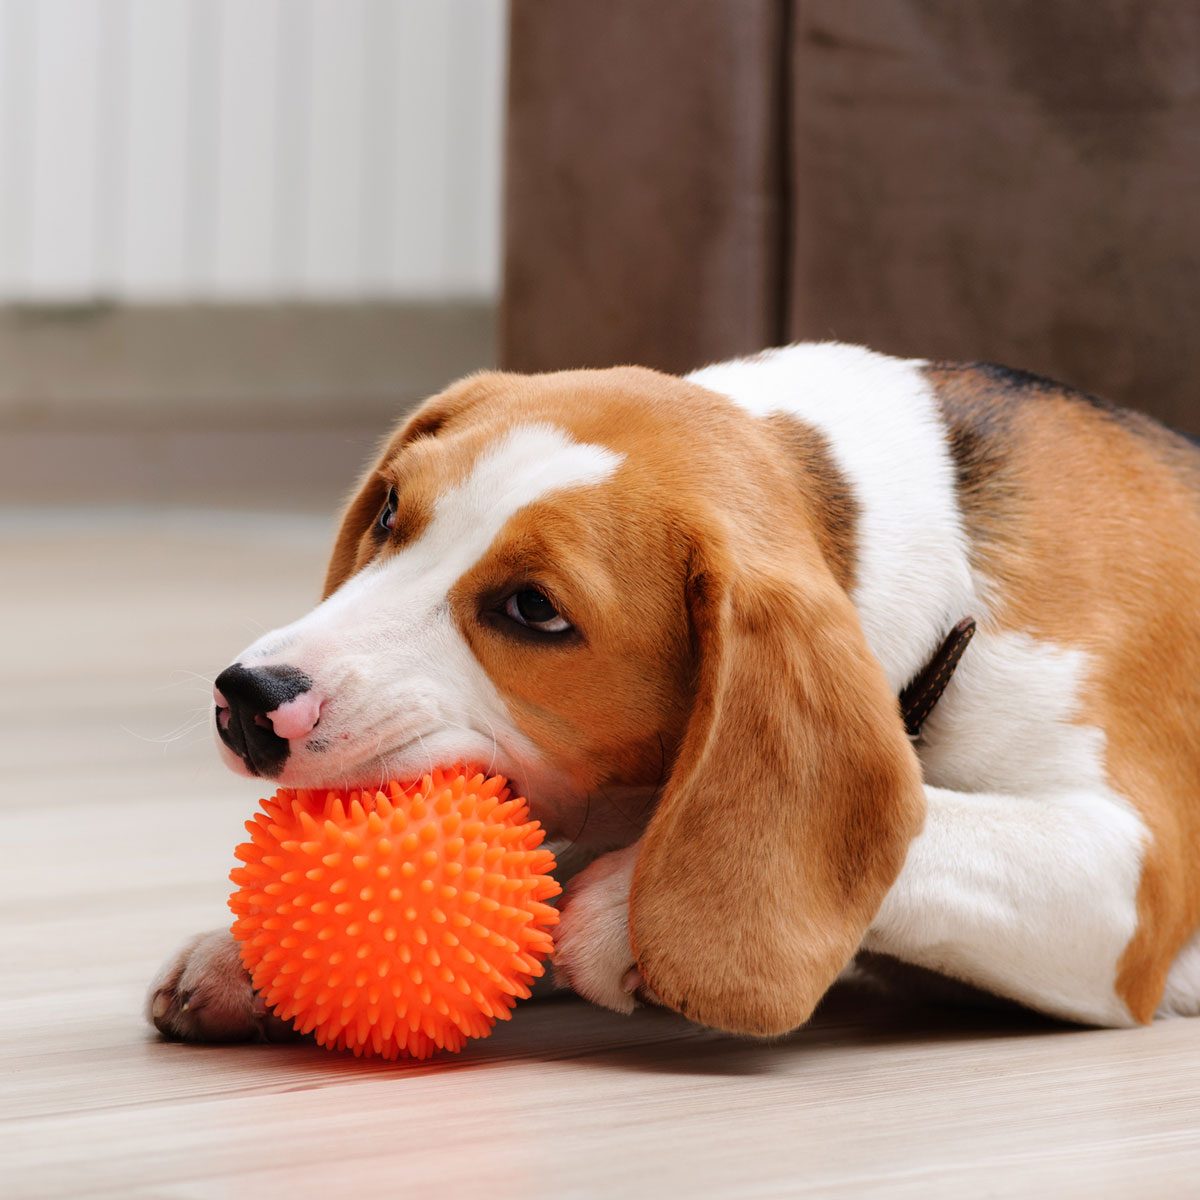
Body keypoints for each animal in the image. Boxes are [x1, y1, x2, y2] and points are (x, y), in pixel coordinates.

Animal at [147, 343, 1200, 1046]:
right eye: (393, 511)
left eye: (534, 610)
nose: (249, 698)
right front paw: (245, 959)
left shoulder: (1131, 886)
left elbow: (932, 818)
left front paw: (622, 910)